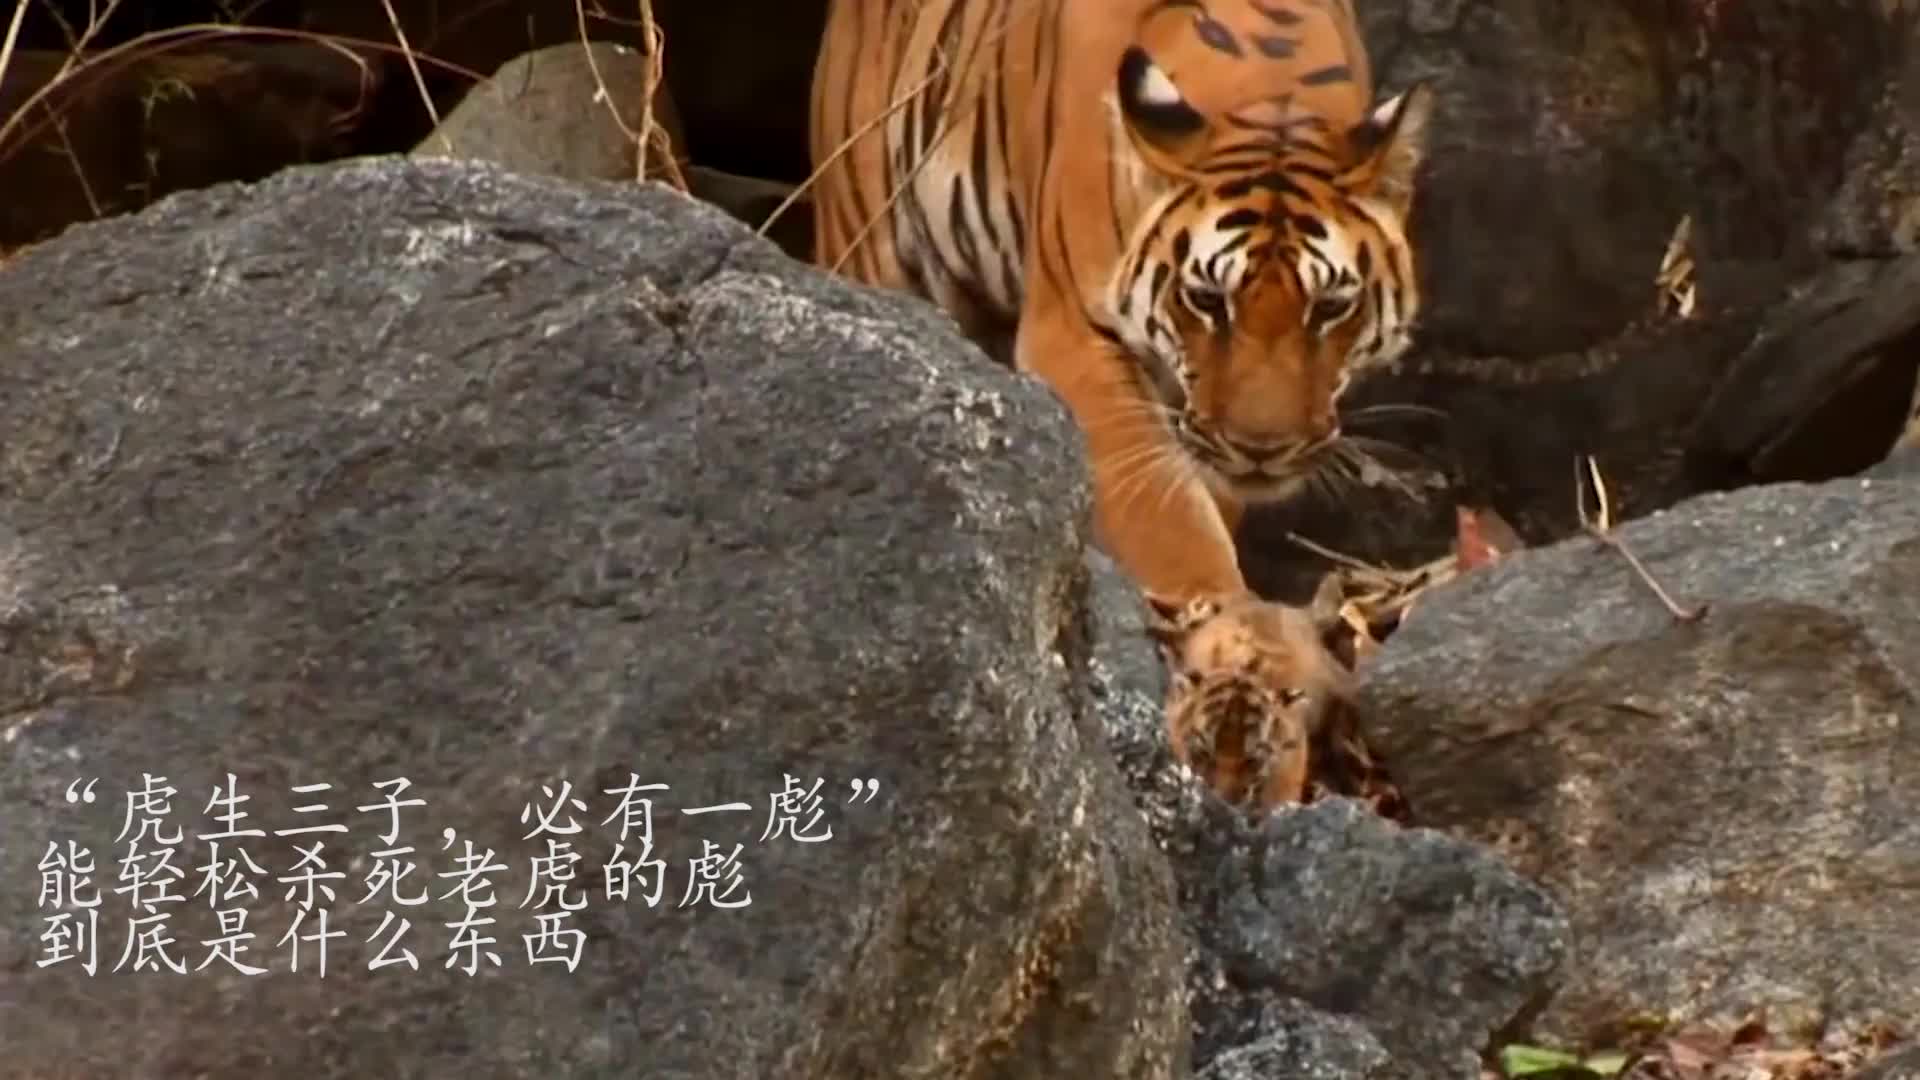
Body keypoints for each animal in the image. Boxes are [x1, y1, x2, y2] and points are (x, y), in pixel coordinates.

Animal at [809, 0, 1432, 806]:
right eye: (1208, 299)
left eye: (1329, 307)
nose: (1262, 449)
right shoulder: (1075, 339)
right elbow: (1170, 524)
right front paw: (1229, 651)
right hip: (872, 237)